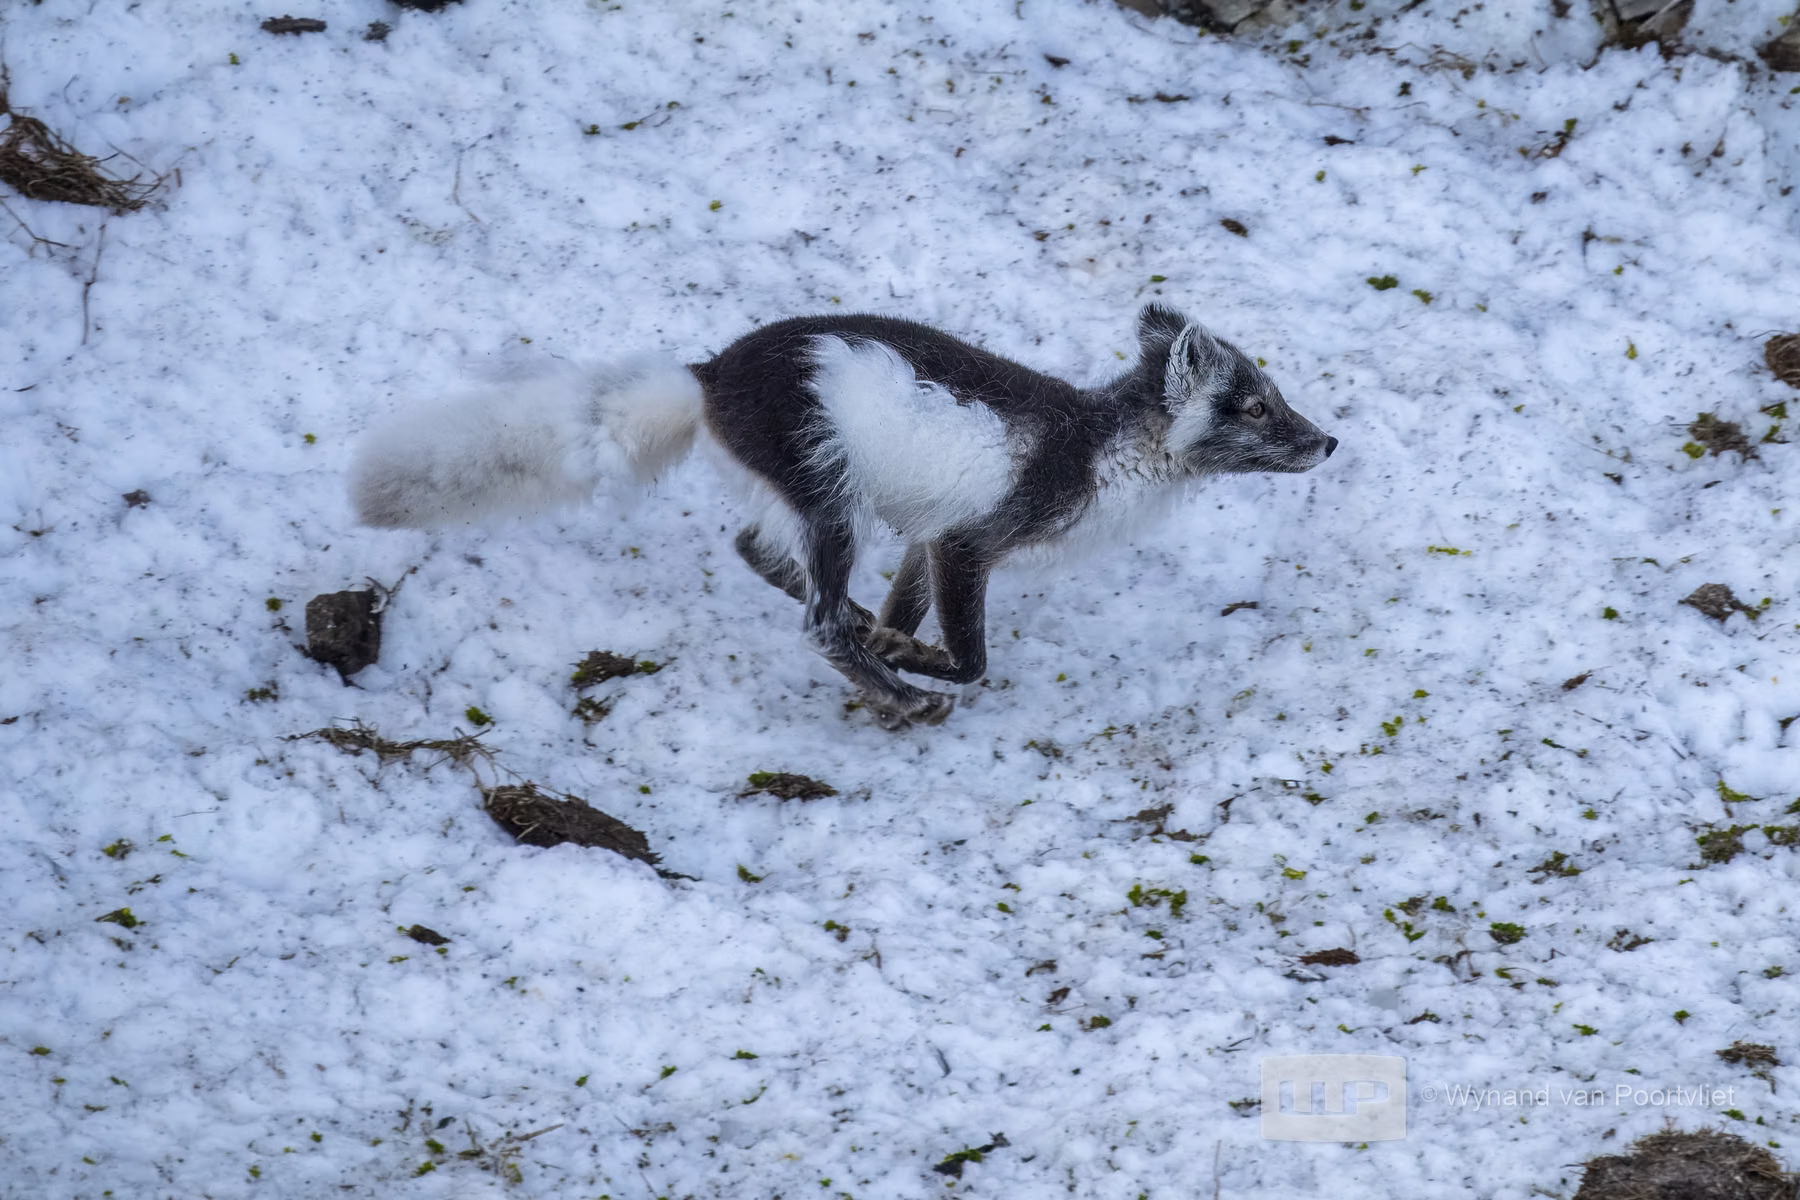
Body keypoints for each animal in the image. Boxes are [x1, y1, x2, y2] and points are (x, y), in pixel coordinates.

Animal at [350, 303, 1337, 728]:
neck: (1102, 454)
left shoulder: (928, 535)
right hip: (827, 481)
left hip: (814, 493)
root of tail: (709, 374)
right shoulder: (976, 535)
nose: (1328, 441)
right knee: (815, 620)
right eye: (1256, 407)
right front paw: (915, 664)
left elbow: (909, 598)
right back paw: (898, 692)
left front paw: (894, 635)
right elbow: (973, 657)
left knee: (755, 549)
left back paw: (870, 644)